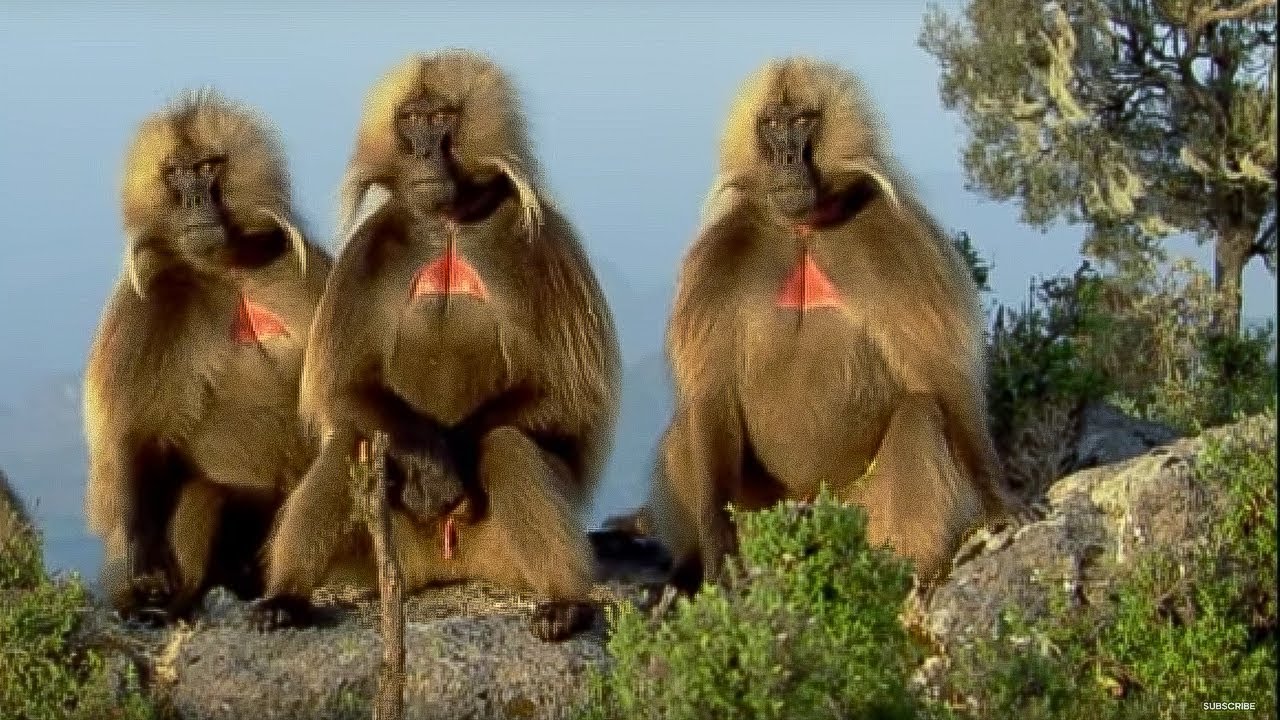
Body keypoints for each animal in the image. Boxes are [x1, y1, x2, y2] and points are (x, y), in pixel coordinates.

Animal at [83, 91, 333, 622]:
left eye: (207, 167)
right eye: (175, 174)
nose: (196, 202)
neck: (224, 268)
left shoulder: (309, 270)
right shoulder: (146, 309)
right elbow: (140, 434)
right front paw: (147, 559)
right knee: (201, 493)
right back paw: (168, 605)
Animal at [253, 50, 621, 642]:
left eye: (440, 118)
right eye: (410, 120)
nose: (423, 151)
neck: (449, 224)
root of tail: (449, 570)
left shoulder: (542, 245)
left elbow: (566, 392)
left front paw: (448, 465)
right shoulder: (366, 253)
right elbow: (342, 389)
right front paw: (431, 462)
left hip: (497, 553)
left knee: (506, 442)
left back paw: (565, 603)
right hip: (389, 548)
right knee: (351, 439)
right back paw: (285, 599)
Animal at [648, 57, 1015, 594]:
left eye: (803, 121)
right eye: (771, 124)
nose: (785, 159)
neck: (804, 229)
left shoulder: (901, 242)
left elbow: (945, 379)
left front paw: (1002, 503)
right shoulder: (714, 264)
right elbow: (711, 397)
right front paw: (716, 561)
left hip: (858, 511)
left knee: (920, 414)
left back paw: (913, 572)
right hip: (764, 512)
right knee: (688, 424)